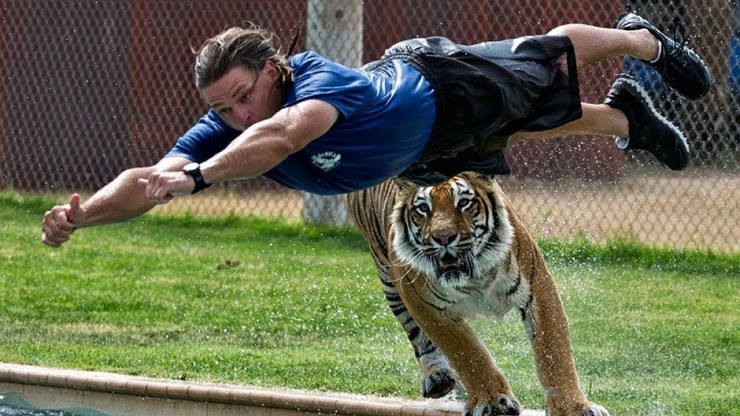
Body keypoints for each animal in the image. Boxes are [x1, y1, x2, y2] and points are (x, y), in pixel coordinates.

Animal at [344, 172, 608, 416]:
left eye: (463, 203)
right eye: (423, 208)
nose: (443, 238)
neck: (474, 276)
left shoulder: (537, 287)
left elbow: (554, 351)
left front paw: (573, 408)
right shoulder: (422, 303)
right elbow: (467, 353)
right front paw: (492, 402)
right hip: (388, 280)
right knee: (416, 335)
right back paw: (437, 377)